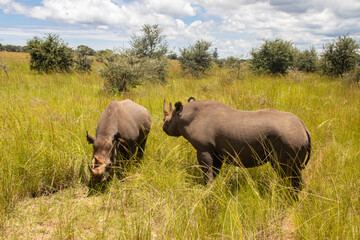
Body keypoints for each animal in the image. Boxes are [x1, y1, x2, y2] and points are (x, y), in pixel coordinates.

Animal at [162, 98, 310, 191]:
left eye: (167, 121)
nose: (163, 128)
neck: (184, 116)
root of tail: (304, 128)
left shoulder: (203, 148)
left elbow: (207, 170)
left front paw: (207, 188)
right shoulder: (216, 150)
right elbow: (214, 170)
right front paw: (214, 187)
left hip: (288, 137)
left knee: (286, 171)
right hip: (292, 136)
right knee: (295, 171)